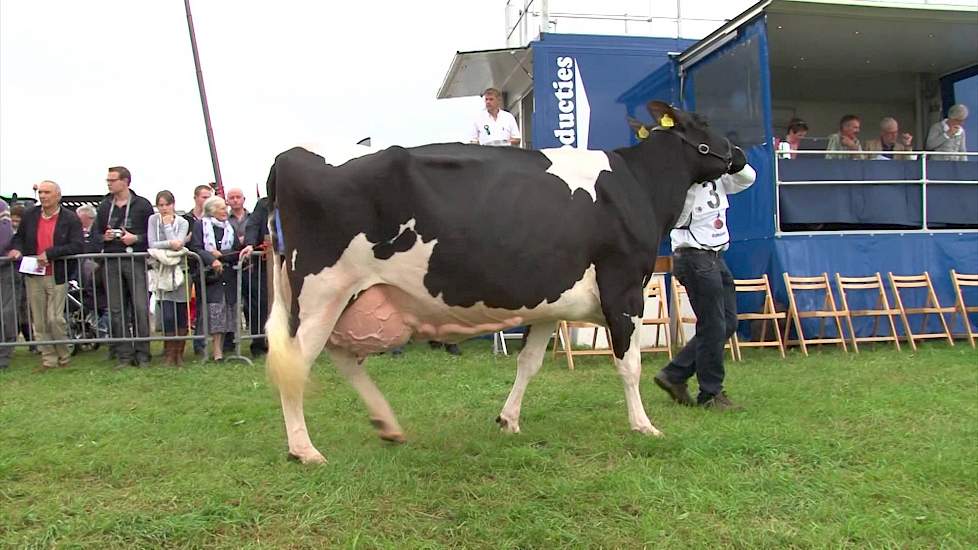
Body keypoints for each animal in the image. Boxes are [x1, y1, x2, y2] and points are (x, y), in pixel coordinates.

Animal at [264, 101, 744, 464]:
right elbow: (629, 365)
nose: (739, 153)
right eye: (704, 123)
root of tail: (288, 156)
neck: (638, 184)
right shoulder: (623, 286)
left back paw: (388, 425)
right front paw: (644, 425)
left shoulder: (553, 302)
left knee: (341, 356)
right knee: (297, 362)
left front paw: (508, 420)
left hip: (349, 296)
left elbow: (529, 363)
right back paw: (304, 450)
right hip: (323, 289)